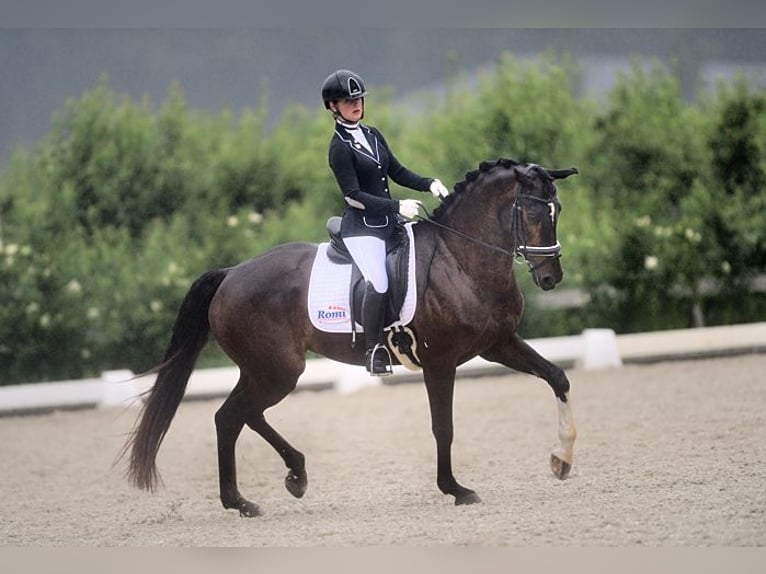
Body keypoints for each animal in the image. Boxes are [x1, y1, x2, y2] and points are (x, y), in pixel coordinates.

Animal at [124, 158, 584, 516]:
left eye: (558, 209)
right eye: (535, 213)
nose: (551, 277)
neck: (460, 258)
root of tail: (231, 274)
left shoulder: (497, 344)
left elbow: (557, 377)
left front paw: (561, 461)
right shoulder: (440, 362)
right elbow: (444, 427)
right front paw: (456, 489)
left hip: (263, 369)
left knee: (235, 416)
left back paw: (278, 484)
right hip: (278, 370)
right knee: (232, 416)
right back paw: (252, 496)